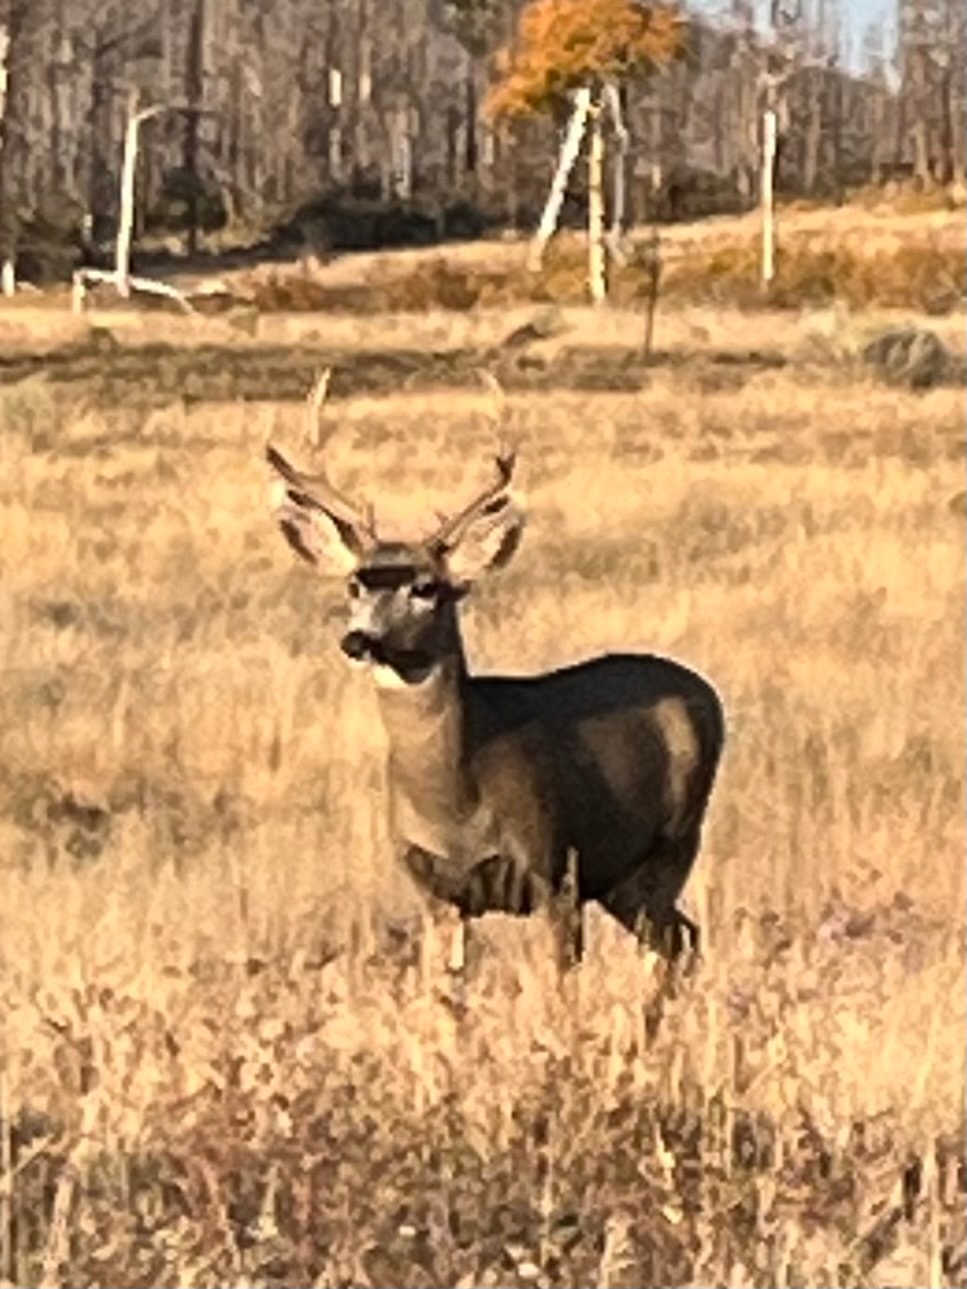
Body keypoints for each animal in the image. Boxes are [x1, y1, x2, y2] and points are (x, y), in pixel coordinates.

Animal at [265, 370, 725, 982]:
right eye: (355, 584)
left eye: (427, 588)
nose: (358, 639)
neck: (455, 807)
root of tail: (708, 694)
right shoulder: (435, 891)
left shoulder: (556, 869)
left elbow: (560, 986)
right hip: (622, 880)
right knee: (679, 938)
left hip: (672, 842)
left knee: (679, 939)